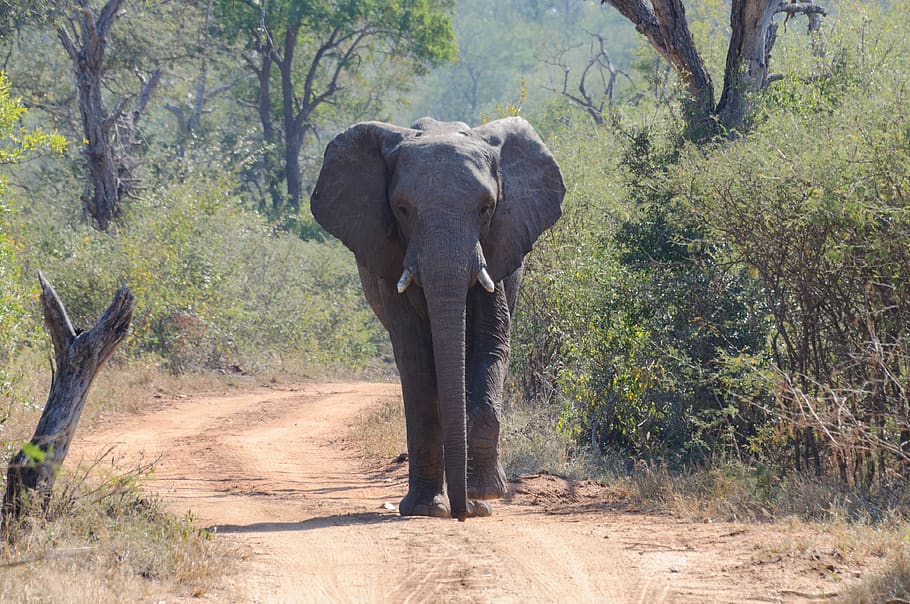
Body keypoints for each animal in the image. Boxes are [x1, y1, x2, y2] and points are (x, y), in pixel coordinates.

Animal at [314, 117, 568, 520]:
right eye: (402, 209)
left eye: (486, 208)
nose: (461, 514)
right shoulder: (390, 257)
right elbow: (416, 359)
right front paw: (427, 509)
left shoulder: (497, 248)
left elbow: (490, 345)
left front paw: (484, 494)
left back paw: (475, 502)